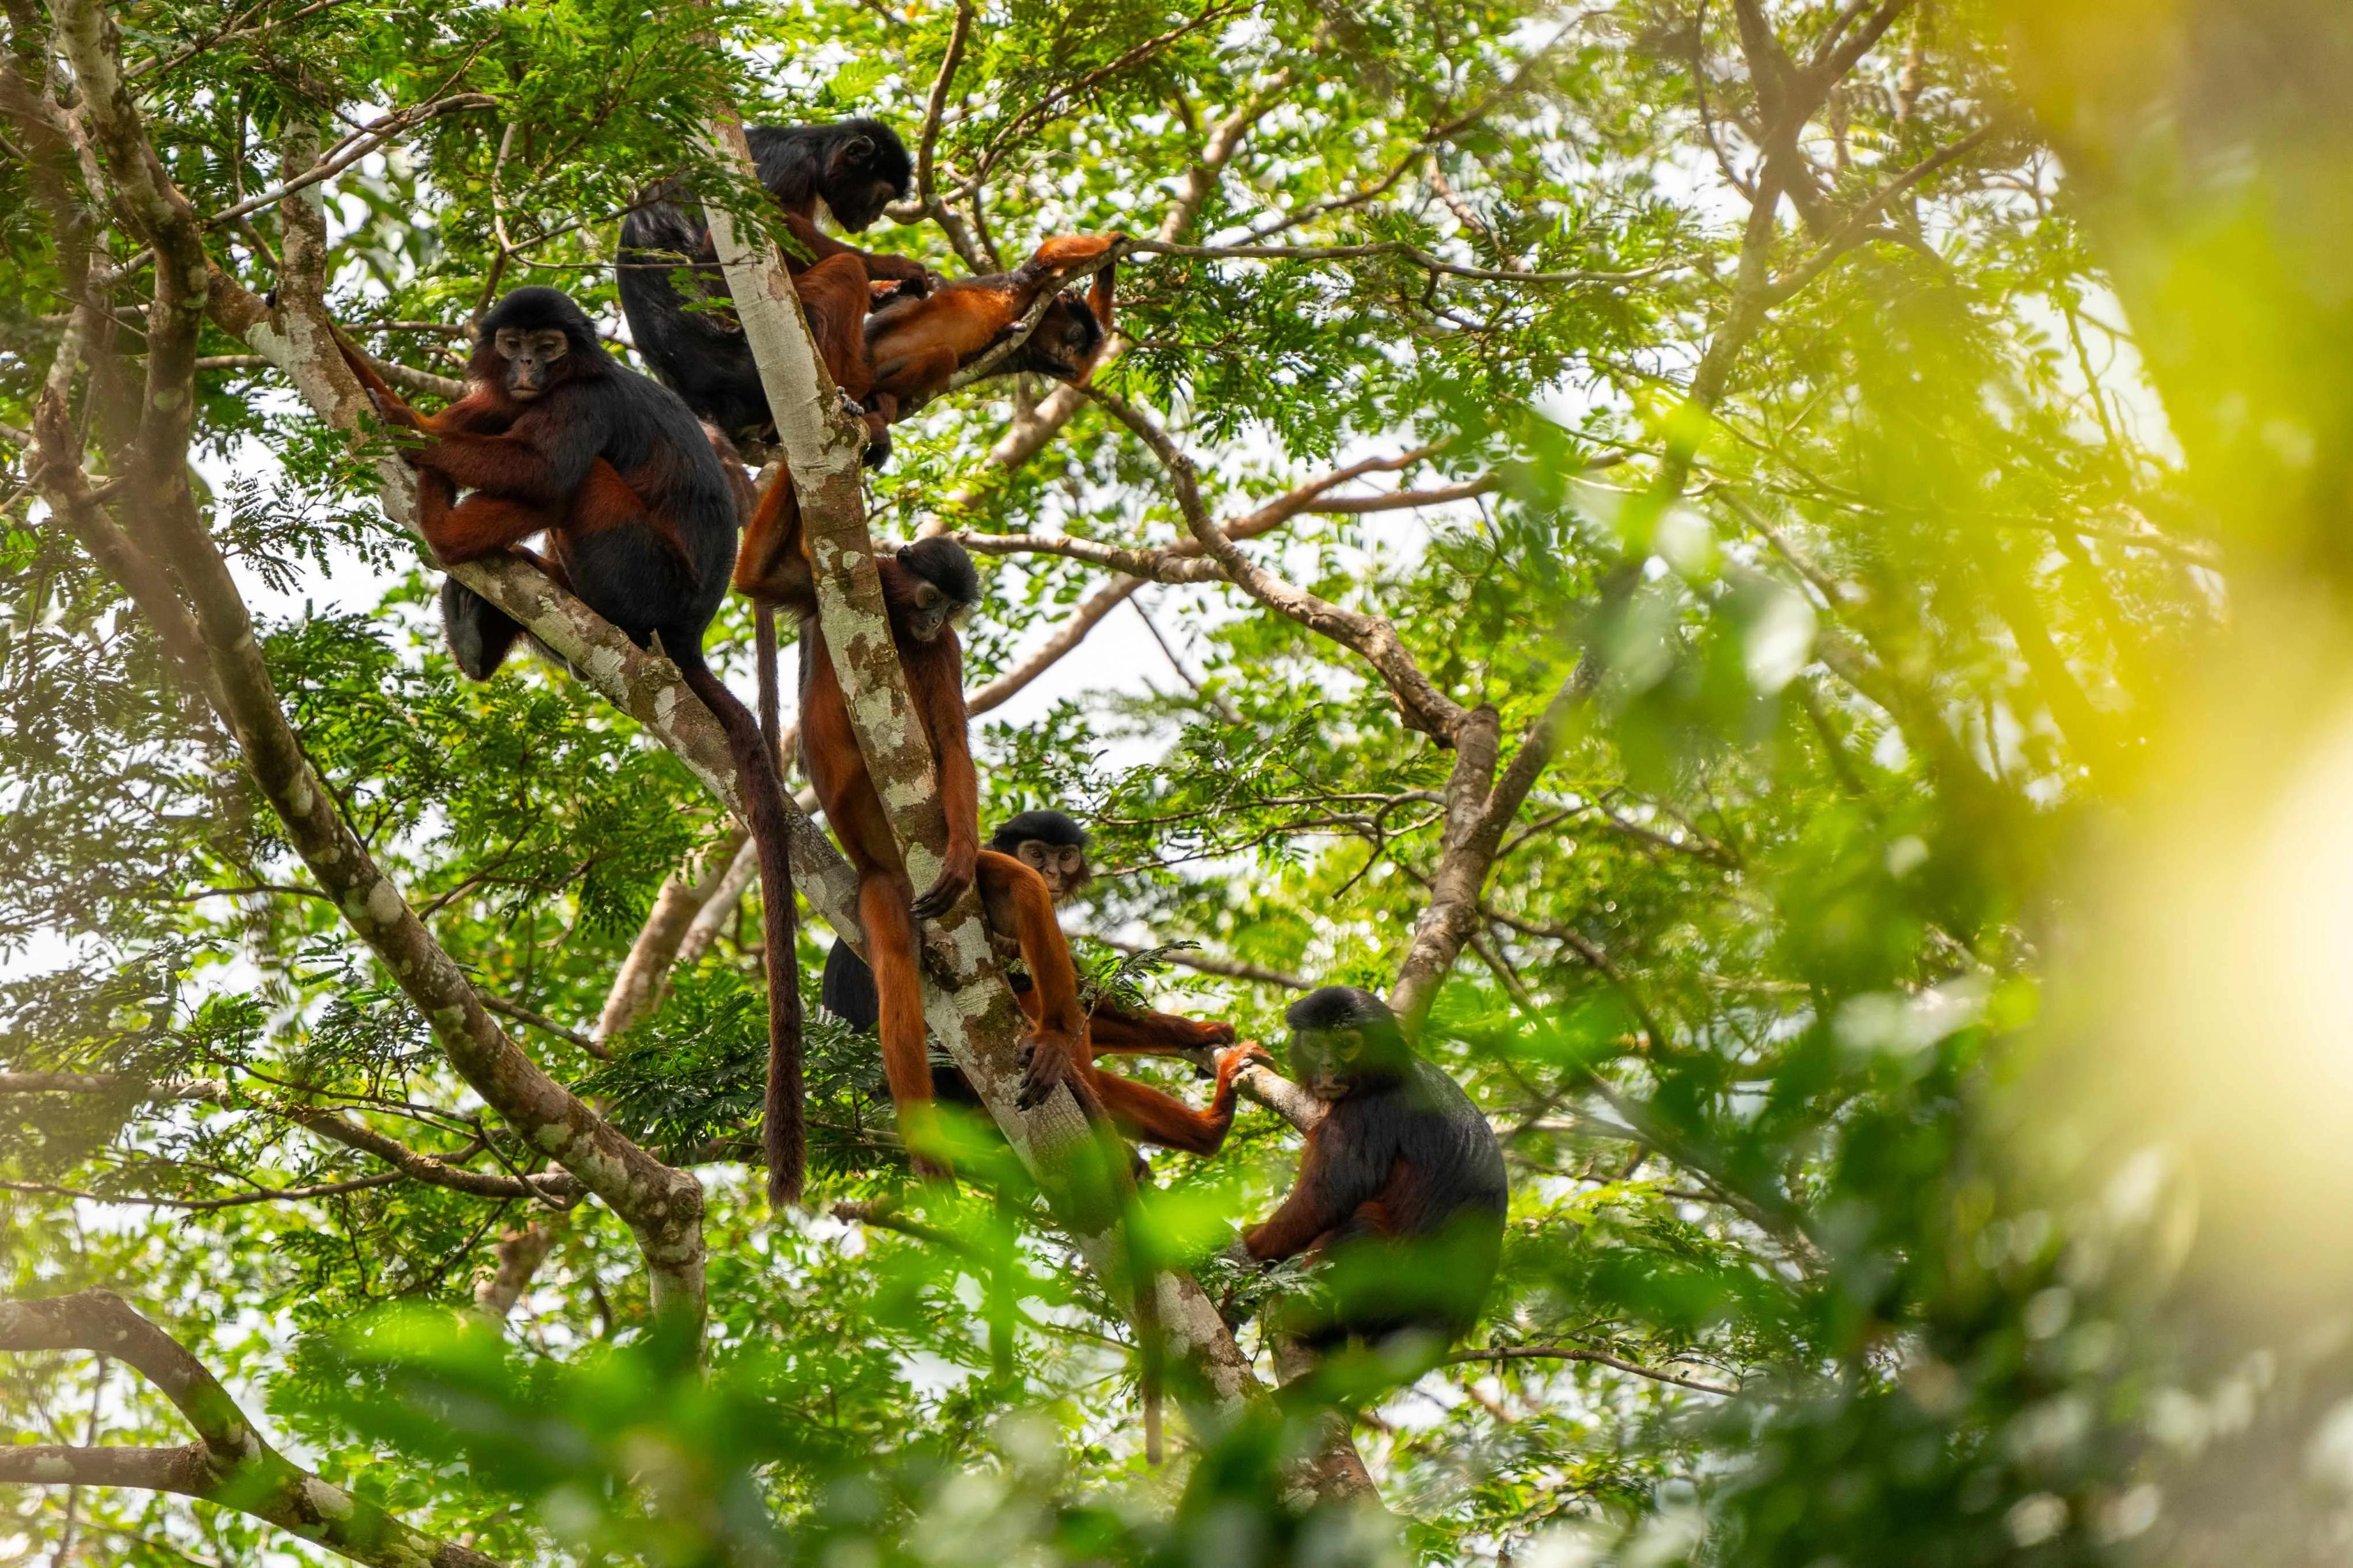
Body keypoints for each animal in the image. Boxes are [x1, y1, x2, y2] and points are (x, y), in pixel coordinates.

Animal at [333, 287, 812, 1203]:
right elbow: (472, 420)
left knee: (574, 480)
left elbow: (540, 470)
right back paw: (482, 617)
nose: (526, 368)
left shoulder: (580, 401)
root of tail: (686, 628)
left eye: (549, 347)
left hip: (636, 569)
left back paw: (452, 539)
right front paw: (346, 352)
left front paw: (393, 414)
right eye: (516, 343)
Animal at [616, 118, 934, 446]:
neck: (812, 149)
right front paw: (888, 266)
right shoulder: (789, 166)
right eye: (881, 197)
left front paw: (885, 292)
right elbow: (722, 245)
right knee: (846, 271)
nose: (874, 217)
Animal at [818, 808, 1269, 1156]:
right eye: (1036, 852)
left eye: (1065, 856)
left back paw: (1209, 1131)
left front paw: (1202, 1031)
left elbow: (1089, 1009)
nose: (1050, 871)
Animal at [1239, 987, 1508, 1356]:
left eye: (1345, 1044)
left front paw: (1254, 1244)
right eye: (1316, 1043)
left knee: (1362, 1218)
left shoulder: (1366, 1113)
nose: (1328, 1066)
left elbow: (1330, 1196)